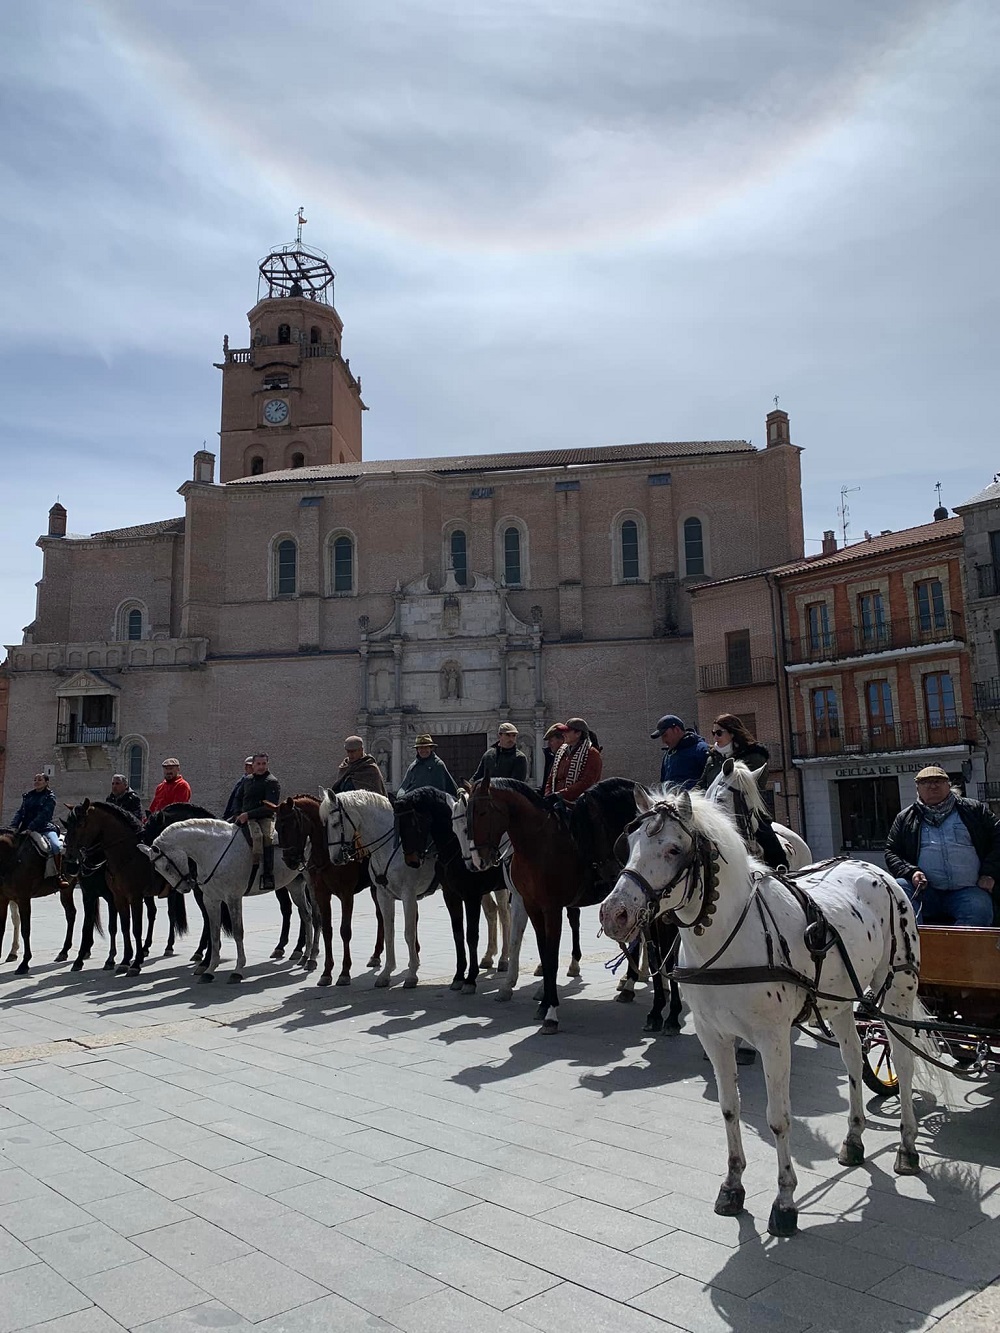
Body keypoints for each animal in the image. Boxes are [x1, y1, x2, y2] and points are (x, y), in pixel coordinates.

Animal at [139, 815, 314, 986]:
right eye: (157, 869)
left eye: (167, 867)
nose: (183, 888)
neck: (215, 851)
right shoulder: (211, 900)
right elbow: (214, 933)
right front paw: (209, 970)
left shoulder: (233, 898)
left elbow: (238, 932)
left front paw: (237, 970)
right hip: (294, 884)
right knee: (306, 915)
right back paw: (304, 955)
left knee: (315, 916)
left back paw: (310, 959)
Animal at [276, 789, 381, 991]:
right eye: (276, 827)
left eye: (292, 825)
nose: (289, 860)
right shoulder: (322, 894)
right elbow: (327, 930)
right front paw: (326, 972)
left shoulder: (346, 894)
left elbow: (345, 931)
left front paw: (344, 973)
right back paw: (376, 955)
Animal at [317, 789, 434, 991]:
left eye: (335, 823)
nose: (335, 859)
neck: (391, 846)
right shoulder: (383, 895)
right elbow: (389, 932)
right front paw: (386, 973)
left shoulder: (408, 895)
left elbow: (408, 933)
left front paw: (411, 974)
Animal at [394, 783, 509, 997]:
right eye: (399, 825)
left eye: (414, 822)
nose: (412, 861)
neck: (454, 850)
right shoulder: (451, 896)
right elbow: (457, 934)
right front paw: (458, 977)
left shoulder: (471, 896)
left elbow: (471, 935)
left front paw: (470, 979)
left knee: (506, 916)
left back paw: (506, 959)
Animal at [594, 783, 933, 1231]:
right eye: (628, 844)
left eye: (673, 849)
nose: (613, 914)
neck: (728, 939)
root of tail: (873, 868)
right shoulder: (713, 1035)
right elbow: (729, 1108)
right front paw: (732, 1186)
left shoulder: (773, 1039)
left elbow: (778, 1117)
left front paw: (785, 1201)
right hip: (842, 1001)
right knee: (852, 1058)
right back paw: (854, 1138)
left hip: (896, 990)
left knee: (903, 1060)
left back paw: (908, 1147)